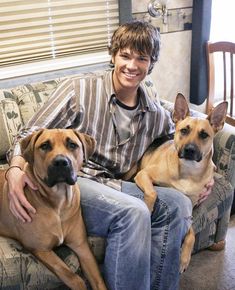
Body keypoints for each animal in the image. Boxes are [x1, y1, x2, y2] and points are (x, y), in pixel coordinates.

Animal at [0, 129, 106, 290]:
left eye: (72, 145)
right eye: (44, 146)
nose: (61, 162)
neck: (59, 202)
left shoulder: (82, 247)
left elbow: (99, 281)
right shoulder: (40, 249)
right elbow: (74, 277)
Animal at [125, 94, 228, 274]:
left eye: (204, 135)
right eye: (184, 130)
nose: (190, 150)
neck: (188, 171)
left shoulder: (190, 209)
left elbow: (191, 234)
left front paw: (184, 259)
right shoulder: (144, 174)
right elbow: (153, 192)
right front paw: (148, 208)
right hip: (133, 170)